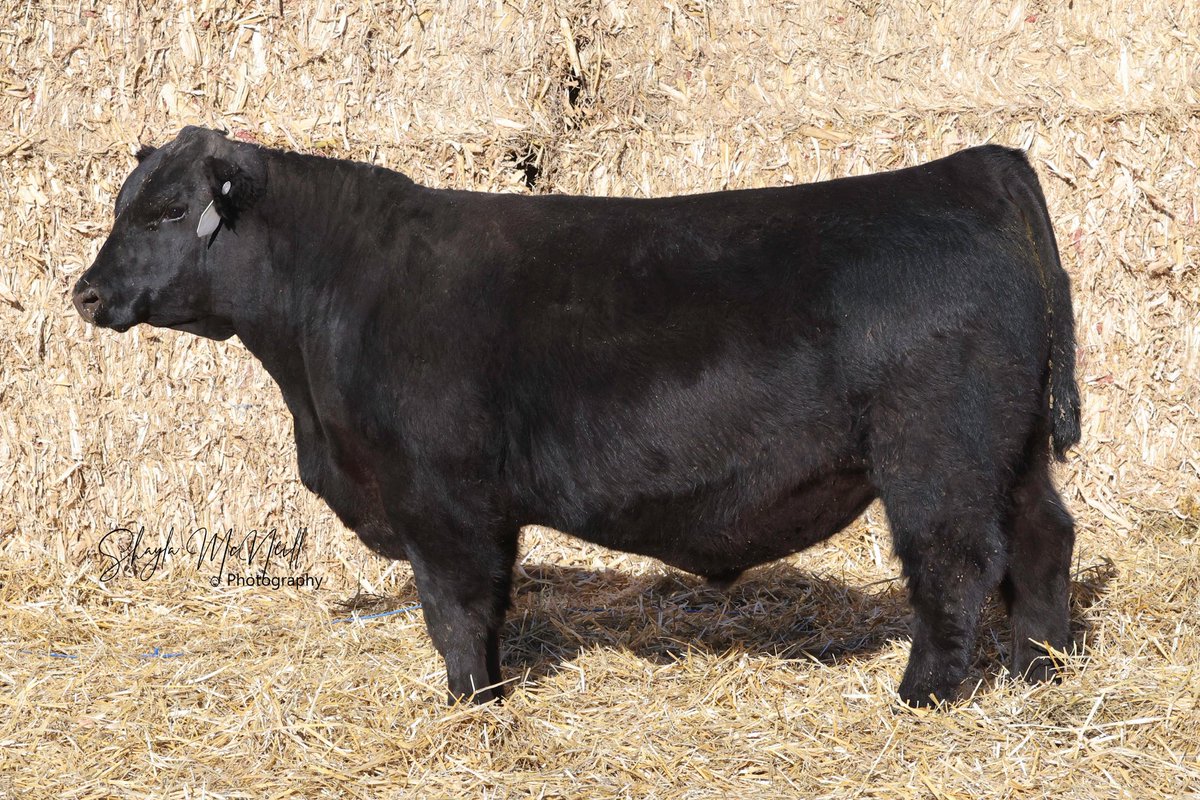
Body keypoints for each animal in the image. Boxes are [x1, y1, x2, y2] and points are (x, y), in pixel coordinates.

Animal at [73, 126, 1080, 708]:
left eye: (168, 210)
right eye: (125, 204)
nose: (85, 293)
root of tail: (973, 169)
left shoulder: (440, 498)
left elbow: (458, 607)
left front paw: (472, 703)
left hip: (937, 457)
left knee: (955, 563)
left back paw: (923, 696)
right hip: (1013, 451)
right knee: (1041, 540)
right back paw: (1039, 669)